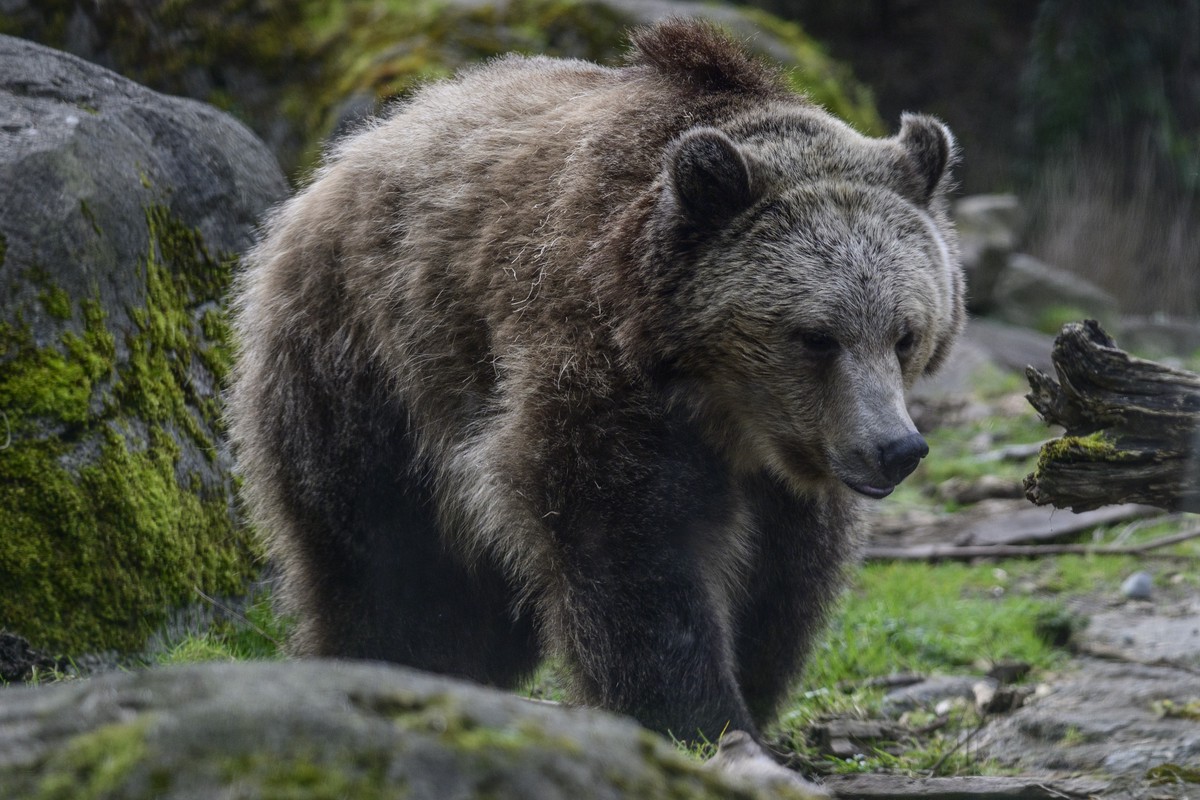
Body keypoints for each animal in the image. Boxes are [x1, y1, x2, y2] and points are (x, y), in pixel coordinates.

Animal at [228, 18, 962, 753]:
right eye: (816, 336)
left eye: (905, 334)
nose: (895, 448)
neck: (720, 408)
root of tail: (336, 165)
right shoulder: (596, 372)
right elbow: (630, 551)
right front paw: (698, 716)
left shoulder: (792, 465)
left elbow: (784, 575)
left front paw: (749, 686)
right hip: (368, 363)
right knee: (386, 558)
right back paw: (391, 662)